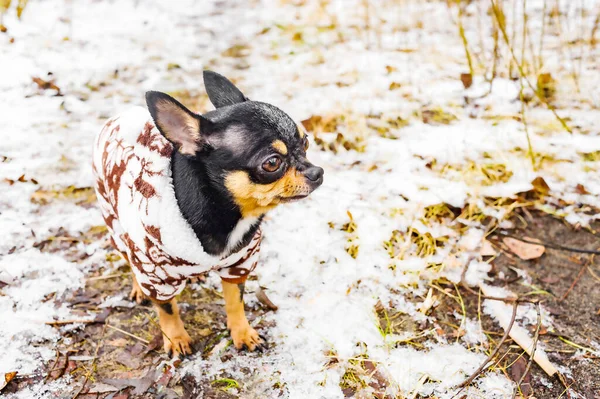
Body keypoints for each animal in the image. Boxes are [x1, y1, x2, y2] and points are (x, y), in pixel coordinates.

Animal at [92, 71, 324, 356]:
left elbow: (235, 301)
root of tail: (120, 116)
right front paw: (175, 338)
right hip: (116, 223)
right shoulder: (157, 272)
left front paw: (242, 333)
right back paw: (139, 288)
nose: (317, 172)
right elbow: (167, 310)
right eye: (272, 163)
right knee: (128, 256)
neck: (228, 213)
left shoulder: (239, 263)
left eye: (306, 141)